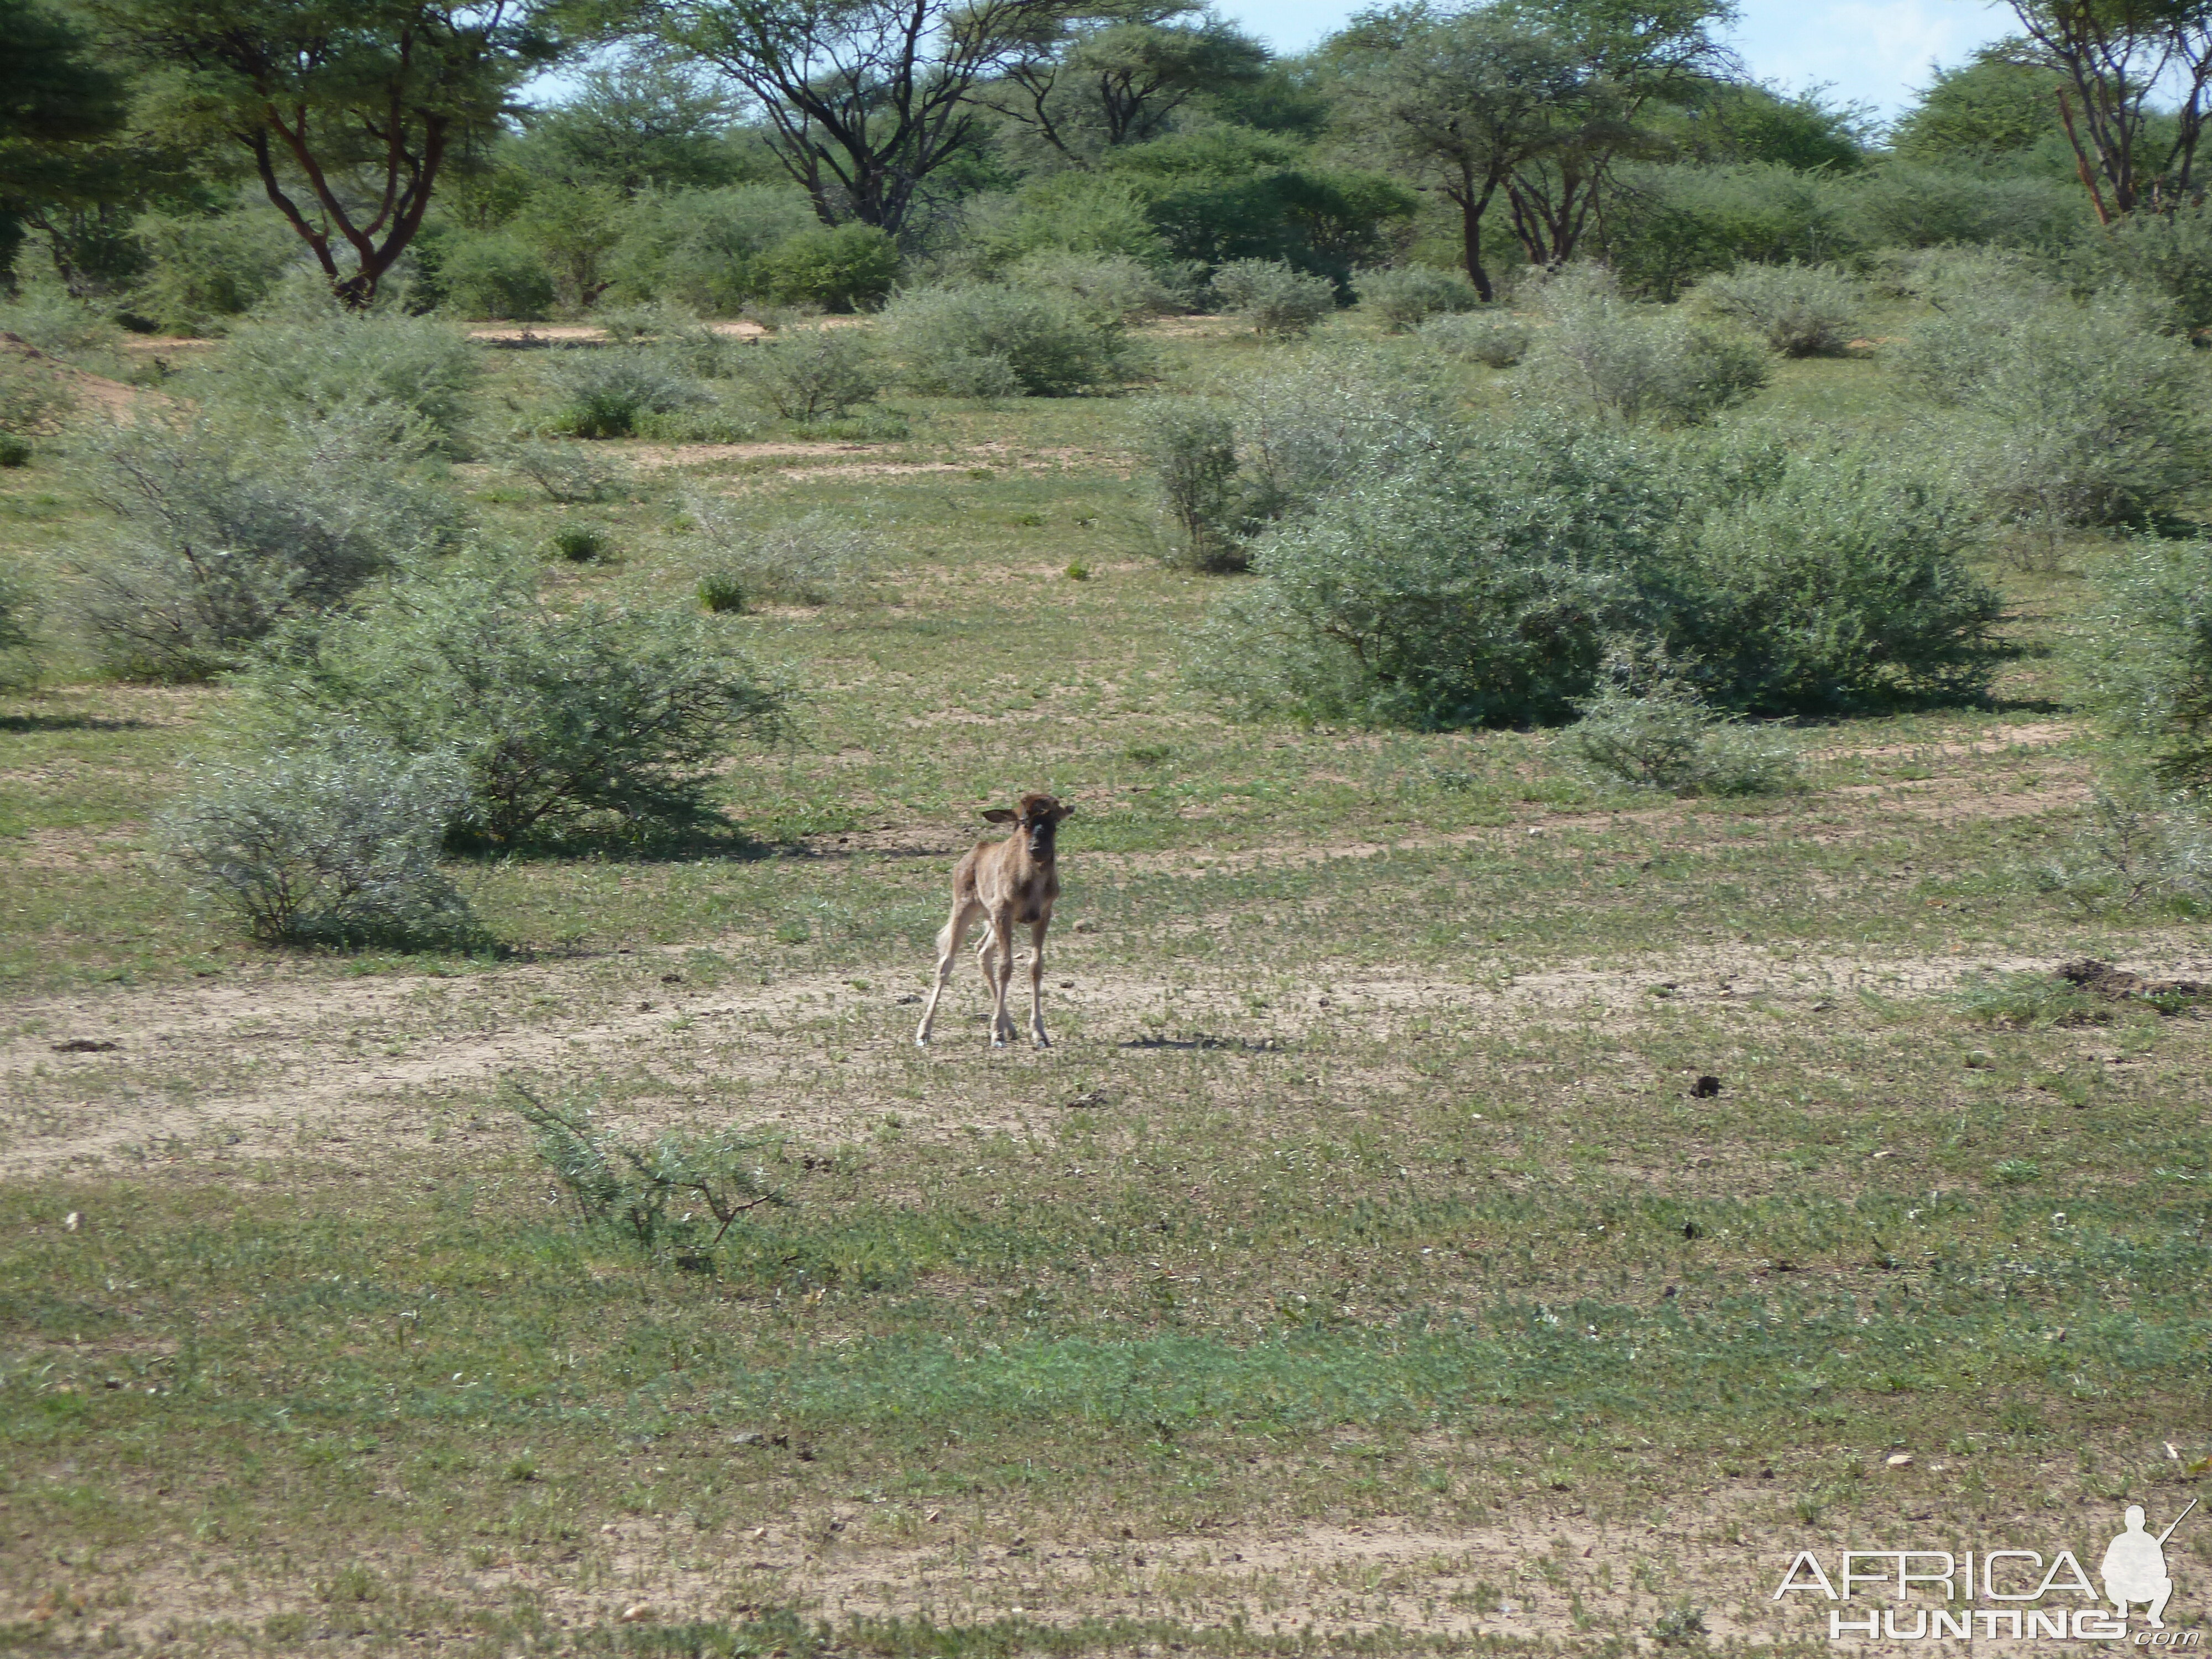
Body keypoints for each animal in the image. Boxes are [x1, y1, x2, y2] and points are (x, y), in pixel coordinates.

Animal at [911, 796, 1075, 1053]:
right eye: (1023, 820)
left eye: (1055, 821)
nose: (1038, 849)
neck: (1032, 881)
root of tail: (972, 854)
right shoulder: (1003, 912)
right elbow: (1005, 967)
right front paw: (996, 1034)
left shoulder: (1042, 915)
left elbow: (1035, 966)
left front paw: (1039, 1034)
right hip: (966, 907)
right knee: (946, 962)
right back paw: (923, 1033)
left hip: (992, 920)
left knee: (981, 951)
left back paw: (1010, 1028)